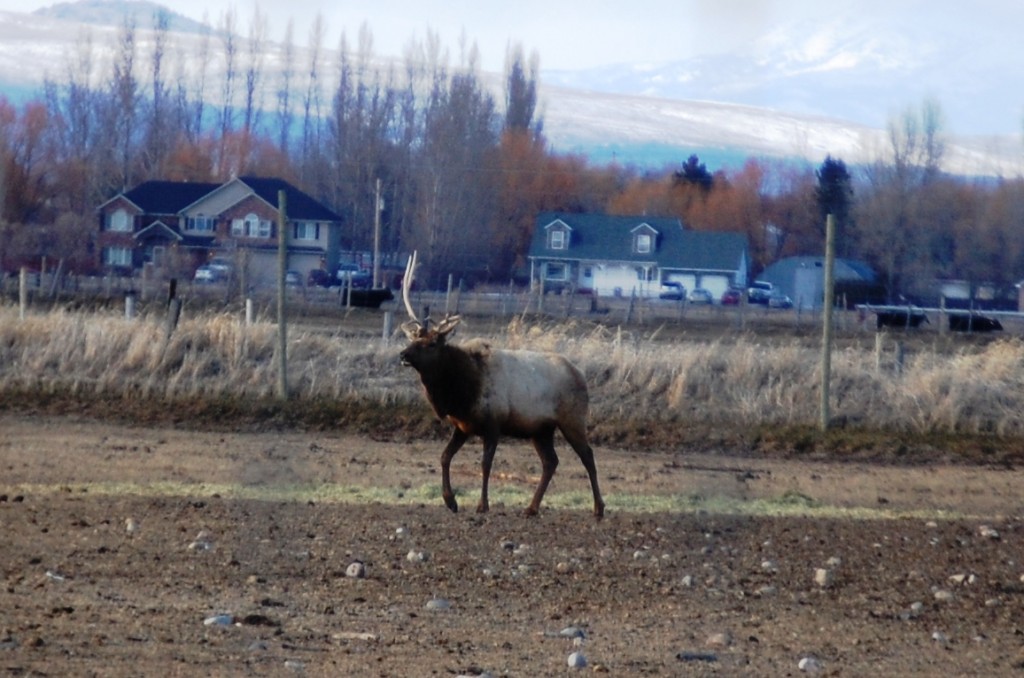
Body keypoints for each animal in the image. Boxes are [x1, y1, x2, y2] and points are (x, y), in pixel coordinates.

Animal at [397, 251, 606, 518]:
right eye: (414, 339)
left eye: (432, 343)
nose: (403, 354)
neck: (462, 392)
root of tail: (580, 374)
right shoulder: (463, 426)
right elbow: (444, 457)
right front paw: (450, 501)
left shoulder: (493, 423)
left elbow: (486, 464)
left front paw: (482, 505)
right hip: (541, 429)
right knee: (551, 461)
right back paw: (531, 507)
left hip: (573, 418)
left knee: (587, 455)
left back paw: (598, 508)